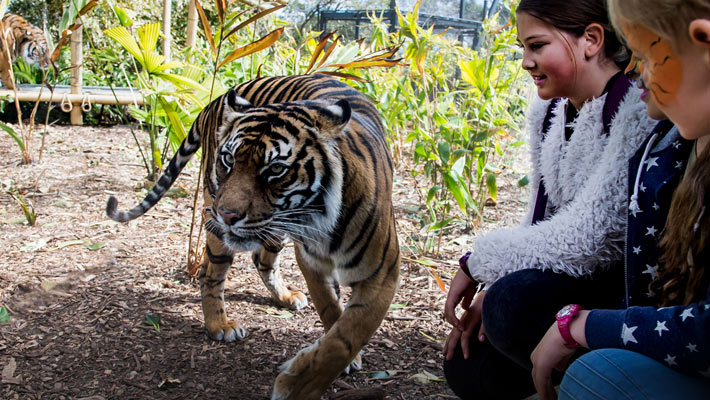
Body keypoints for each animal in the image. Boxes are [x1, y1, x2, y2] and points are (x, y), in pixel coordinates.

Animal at [108, 74, 404, 396]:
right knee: (210, 272)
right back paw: (219, 325)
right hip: (216, 215)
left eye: (275, 169)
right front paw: (297, 386)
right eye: (228, 159)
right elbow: (331, 311)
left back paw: (285, 297)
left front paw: (307, 377)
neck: (323, 220)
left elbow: (347, 334)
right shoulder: (312, 262)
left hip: (271, 231)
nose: (227, 215)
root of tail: (217, 99)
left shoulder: (382, 274)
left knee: (261, 261)